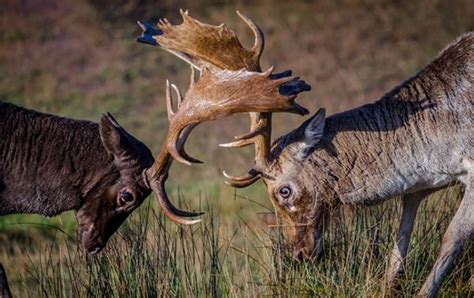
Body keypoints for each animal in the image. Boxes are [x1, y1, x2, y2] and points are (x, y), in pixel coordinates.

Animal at [136, 10, 470, 296]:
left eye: (284, 191)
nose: (298, 254)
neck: (432, 152)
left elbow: (451, 239)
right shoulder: (417, 189)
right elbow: (398, 247)